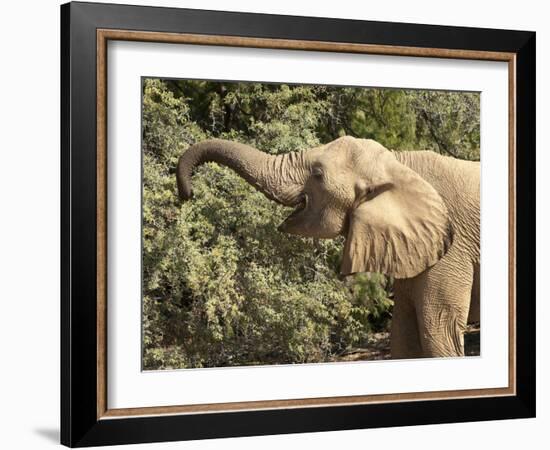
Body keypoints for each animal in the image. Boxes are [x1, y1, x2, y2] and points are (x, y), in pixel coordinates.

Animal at [177, 137, 478, 358]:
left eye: (318, 174)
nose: (187, 193)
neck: (398, 161)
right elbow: (404, 336)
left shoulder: (452, 249)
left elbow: (438, 333)